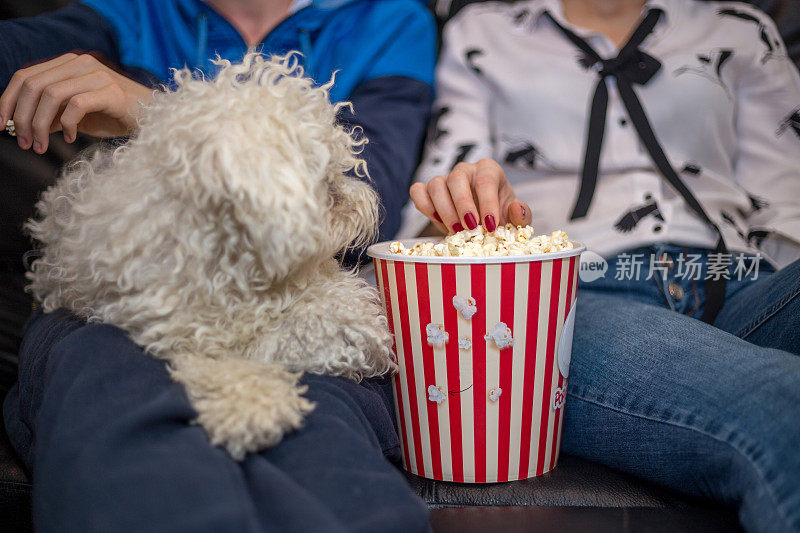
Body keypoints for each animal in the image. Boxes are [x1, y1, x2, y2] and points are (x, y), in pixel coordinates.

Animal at [25, 55, 396, 462]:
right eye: (326, 177)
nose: (367, 202)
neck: (234, 263)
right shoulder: (175, 329)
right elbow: (220, 365)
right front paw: (255, 404)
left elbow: (339, 313)